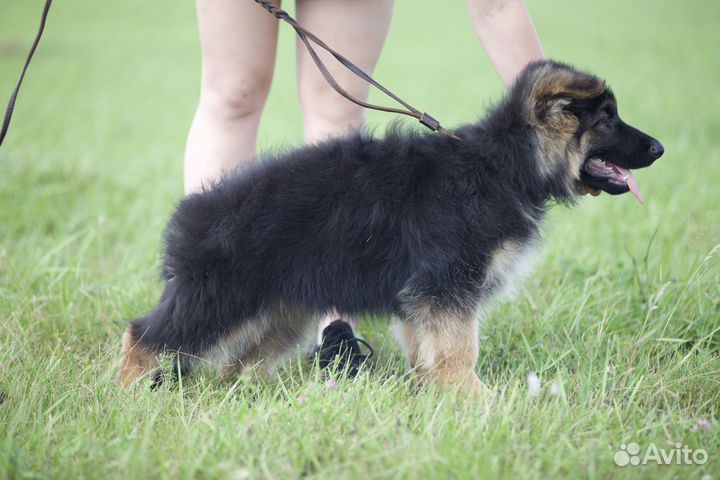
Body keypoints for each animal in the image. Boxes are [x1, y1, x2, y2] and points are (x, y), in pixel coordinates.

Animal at [118, 61, 664, 394]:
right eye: (607, 119)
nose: (659, 148)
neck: (503, 165)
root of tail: (192, 212)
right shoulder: (446, 285)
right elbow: (459, 348)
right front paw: (476, 399)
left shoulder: (424, 295)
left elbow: (429, 350)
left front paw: (437, 395)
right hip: (218, 297)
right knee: (145, 335)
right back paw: (129, 391)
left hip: (280, 307)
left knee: (238, 362)